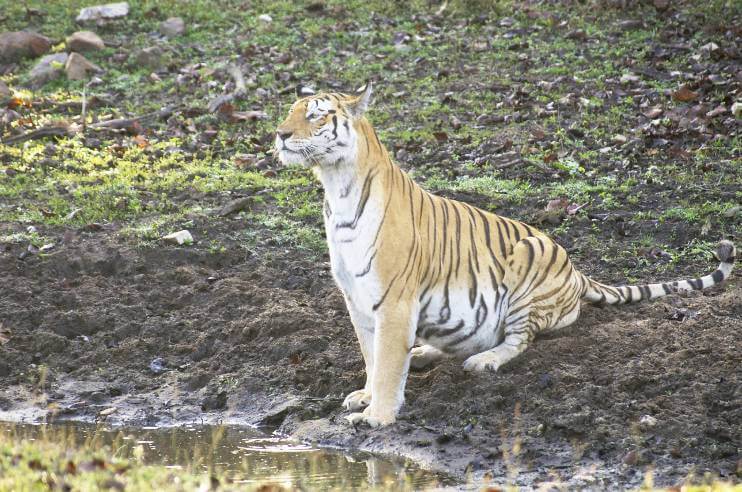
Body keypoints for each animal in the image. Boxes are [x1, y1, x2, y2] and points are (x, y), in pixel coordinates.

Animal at [274, 80, 740, 426]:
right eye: (290, 112)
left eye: (315, 114)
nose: (279, 135)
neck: (336, 188)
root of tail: (578, 271)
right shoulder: (356, 299)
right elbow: (372, 355)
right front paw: (367, 395)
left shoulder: (394, 301)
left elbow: (387, 361)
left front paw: (378, 415)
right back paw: (423, 353)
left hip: (525, 270)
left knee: (517, 340)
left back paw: (483, 361)